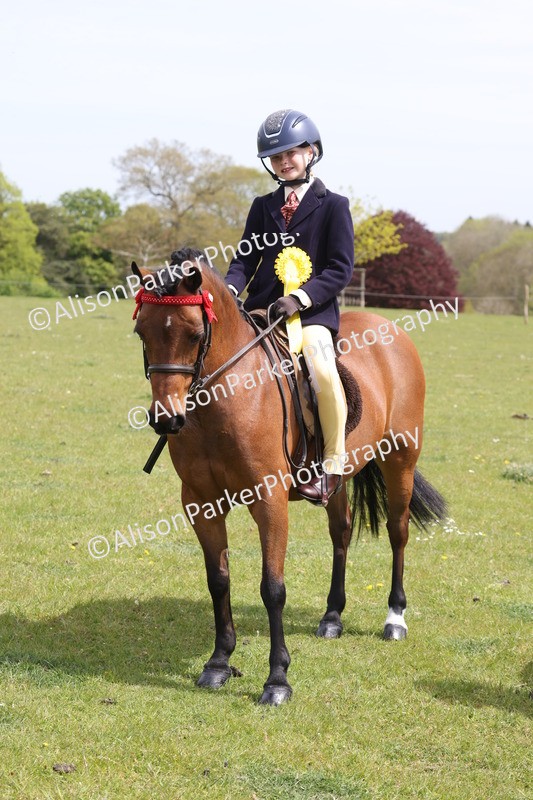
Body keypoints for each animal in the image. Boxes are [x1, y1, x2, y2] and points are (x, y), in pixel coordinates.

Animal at [130, 249, 446, 705]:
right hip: (338, 476)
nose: (166, 419)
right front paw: (218, 663)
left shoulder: (269, 500)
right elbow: (218, 580)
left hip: (400, 459)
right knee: (341, 532)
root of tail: (388, 327)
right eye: (142, 332)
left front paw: (277, 679)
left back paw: (395, 619)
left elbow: (272, 588)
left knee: (397, 532)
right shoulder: (200, 501)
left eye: (193, 334)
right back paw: (332, 616)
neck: (224, 399)